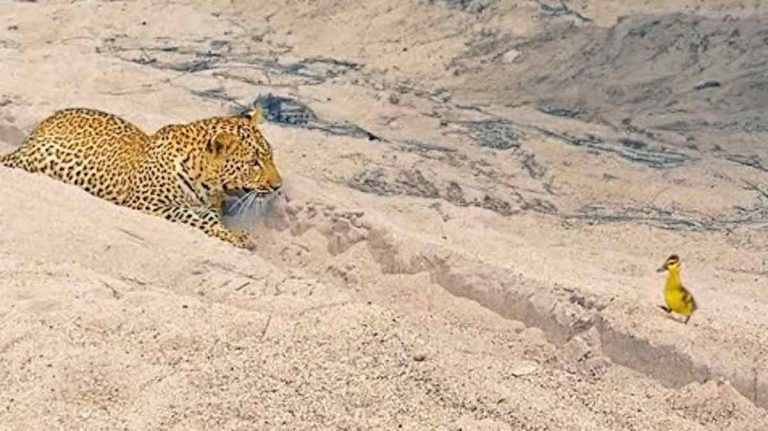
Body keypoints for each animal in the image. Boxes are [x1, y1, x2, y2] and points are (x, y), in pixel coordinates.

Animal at [0, 107, 282, 248]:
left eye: (271, 156)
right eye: (254, 163)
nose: (278, 186)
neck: (208, 185)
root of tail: (35, 132)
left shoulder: (211, 209)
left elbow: (210, 221)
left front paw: (232, 234)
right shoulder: (148, 204)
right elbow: (189, 217)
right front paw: (238, 237)